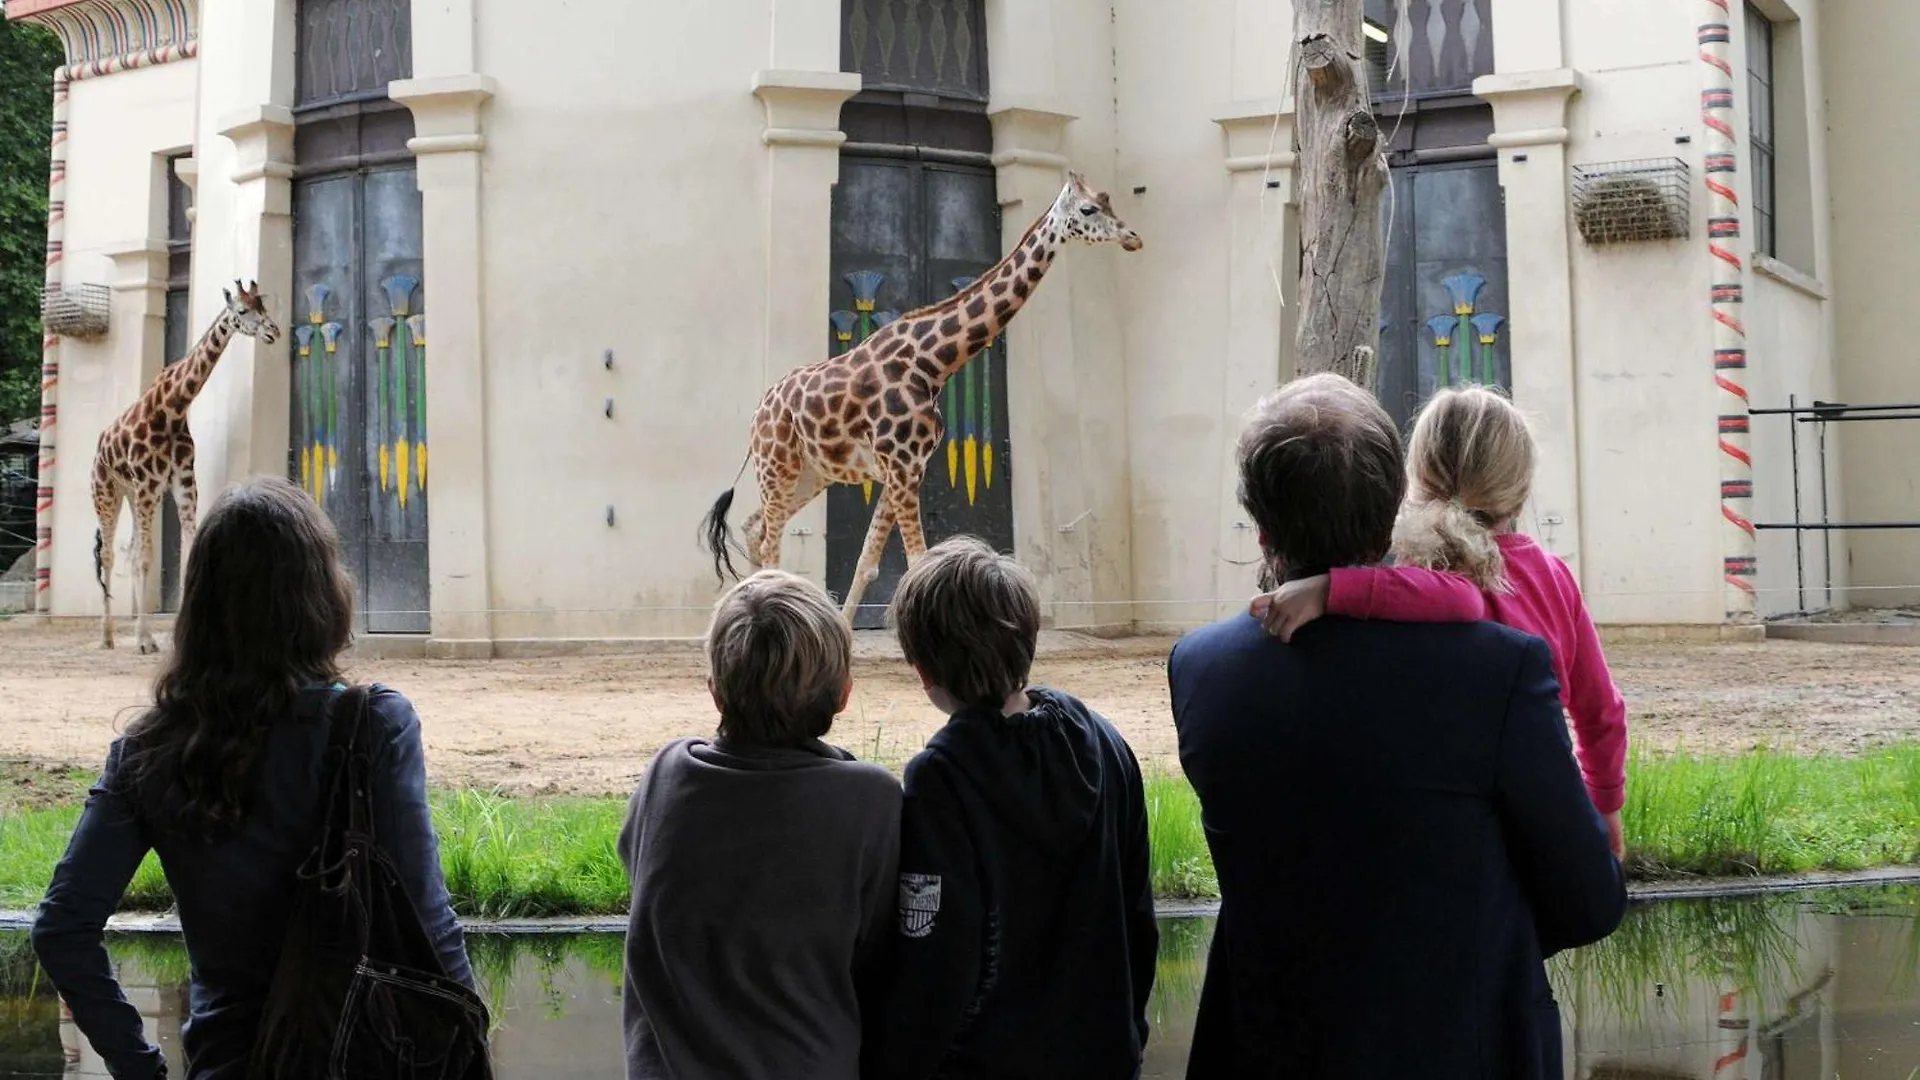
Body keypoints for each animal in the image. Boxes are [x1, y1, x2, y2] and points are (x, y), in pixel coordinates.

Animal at [91, 276, 280, 645]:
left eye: (262, 306)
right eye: (242, 310)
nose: (273, 332)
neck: (174, 407)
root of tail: (99, 445)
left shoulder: (182, 481)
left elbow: (184, 549)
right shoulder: (150, 484)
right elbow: (147, 559)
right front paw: (145, 640)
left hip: (132, 494)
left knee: (130, 550)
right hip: (108, 493)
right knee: (109, 554)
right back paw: (107, 636)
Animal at [702, 171, 1136, 618]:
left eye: (1109, 200)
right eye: (1088, 209)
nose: (1132, 237)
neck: (933, 363)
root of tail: (758, 412)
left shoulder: (904, 470)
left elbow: (867, 562)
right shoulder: (901, 467)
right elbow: (915, 561)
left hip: (811, 473)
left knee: (754, 528)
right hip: (778, 466)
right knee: (770, 540)